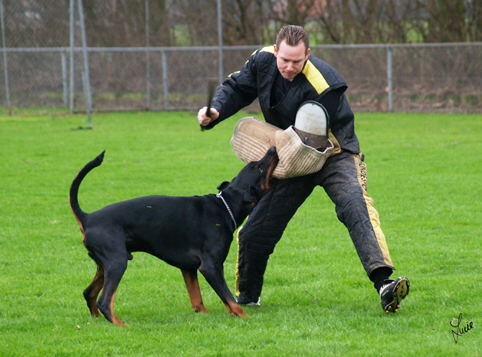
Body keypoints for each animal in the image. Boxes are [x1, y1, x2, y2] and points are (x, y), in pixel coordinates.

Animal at [68, 146, 278, 324]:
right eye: (258, 167)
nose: (273, 148)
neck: (224, 207)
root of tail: (88, 218)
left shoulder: (188, 268)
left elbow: (197, 299)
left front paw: (203, 315)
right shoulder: (211, 267)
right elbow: (229, 298)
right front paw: (245, 316)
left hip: (105, 264)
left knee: (89, 293)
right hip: (117, 262)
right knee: (104, 301)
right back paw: (119, 324)